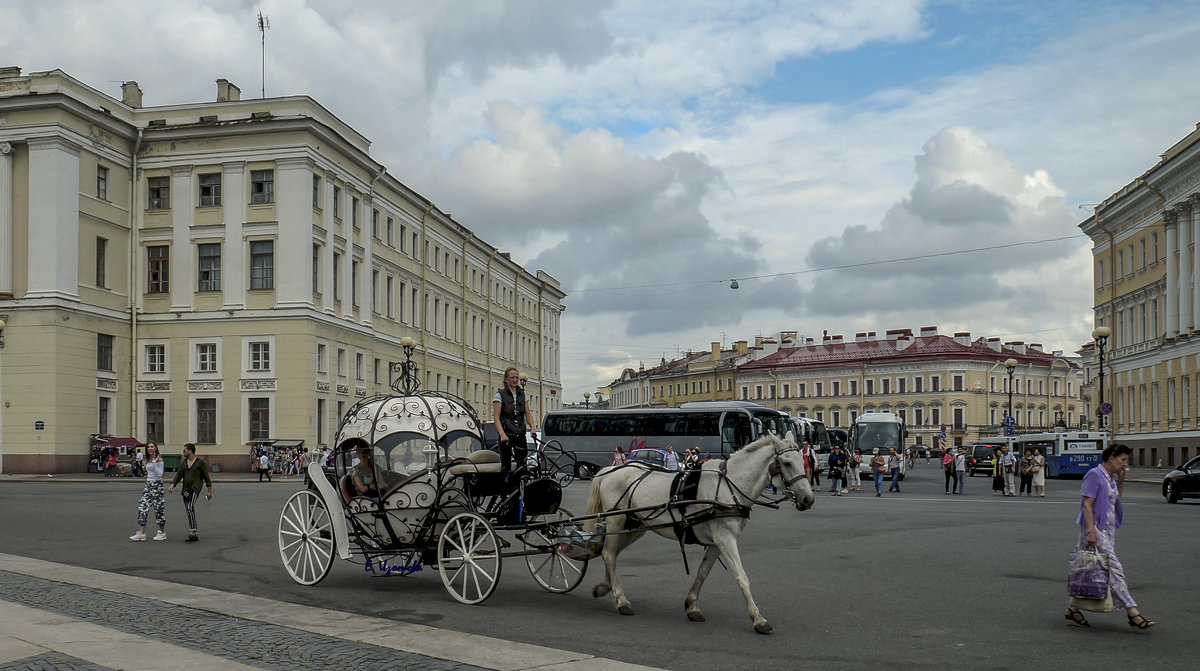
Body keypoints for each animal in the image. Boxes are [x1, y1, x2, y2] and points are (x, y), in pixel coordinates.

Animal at [583, 432, 816, 633]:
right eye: (787, 463)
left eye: (801, 459)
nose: (808, 498)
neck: (730, 485)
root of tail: (610, 469)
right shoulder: (726, 539)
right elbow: (742, 577)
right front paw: (758, 619)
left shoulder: (716, 543)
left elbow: (702, 573)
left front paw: (692, 605)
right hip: (616, 520)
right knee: (609, 554)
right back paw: (622, 600)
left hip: (637, 525)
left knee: (610, 553)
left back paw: (606, 588)